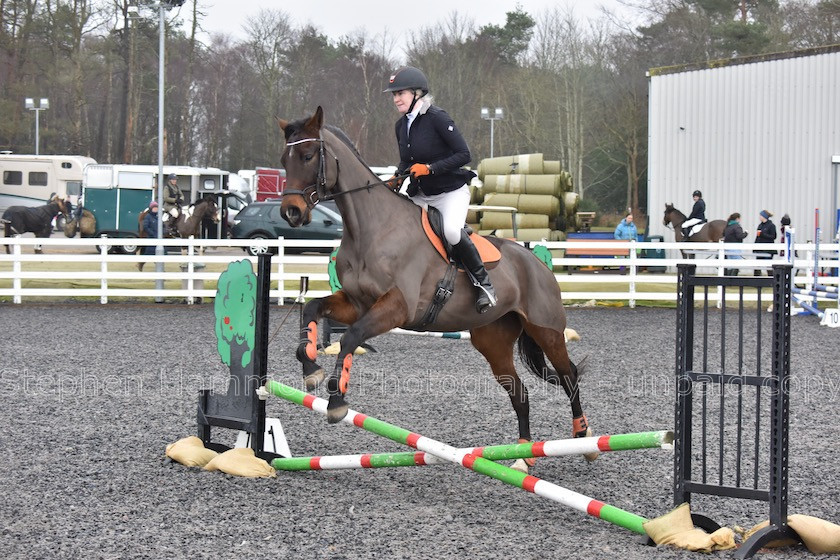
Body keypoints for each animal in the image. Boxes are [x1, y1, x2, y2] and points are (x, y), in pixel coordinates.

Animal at [278, 106, 592, 468]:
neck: (372, 228)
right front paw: (310, 368)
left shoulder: (396, 308)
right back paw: (523, 458)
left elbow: (351, 338)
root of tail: (538, 263)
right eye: (284, 160)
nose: (291, 212)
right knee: (520, 393)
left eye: (308, 155)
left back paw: (583, 438)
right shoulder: (357, 303)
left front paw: (336, 401)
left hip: (547, 331)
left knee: (569, 376)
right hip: (493, 342)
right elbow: (312, 308)